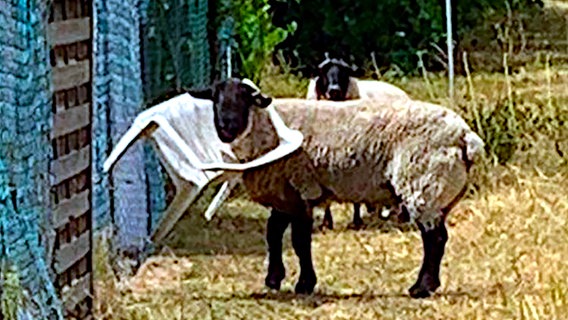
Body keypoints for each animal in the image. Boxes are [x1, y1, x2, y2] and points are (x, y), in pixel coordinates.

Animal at [186, 77, 484, 298]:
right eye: (216, 99)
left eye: (243, 99)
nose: (226, 127)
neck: (265, 129)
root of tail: (465, 136)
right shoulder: (285, 194)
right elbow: (273, 234)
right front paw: (274, 279)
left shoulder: (302, 188)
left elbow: (299, 241)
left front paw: (304, 284)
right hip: (439, 192)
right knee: (438, 238)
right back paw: (427, 285)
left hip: (423, 184)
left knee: (434, 239)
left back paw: (421, 287)